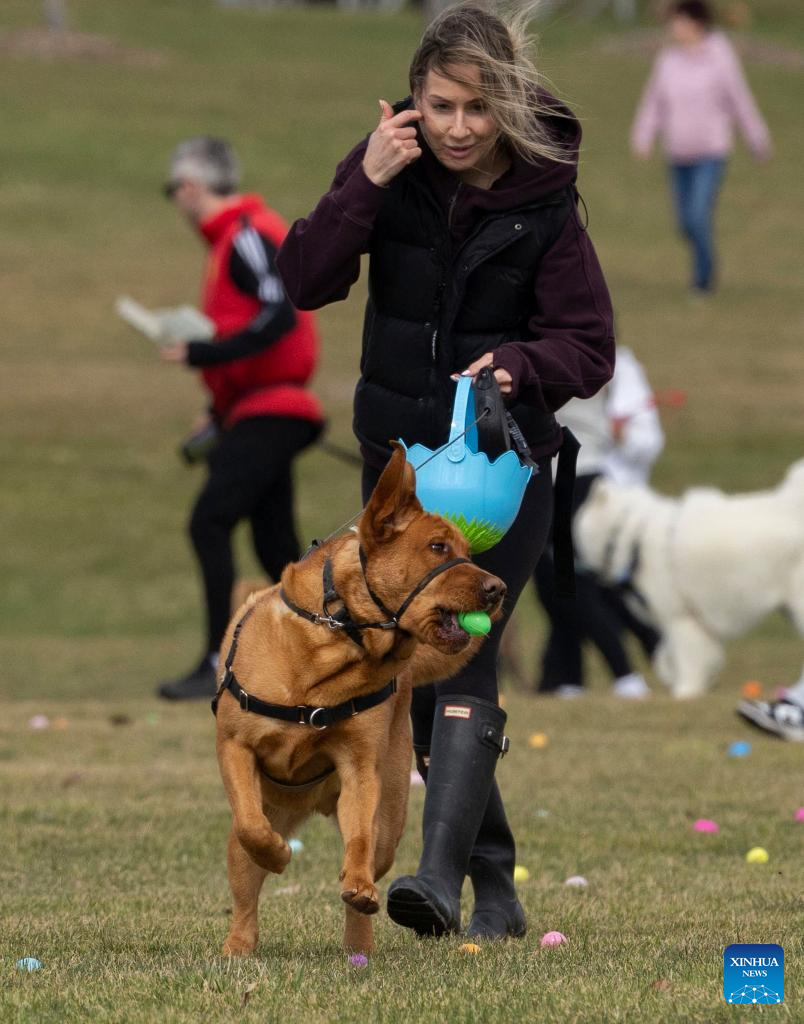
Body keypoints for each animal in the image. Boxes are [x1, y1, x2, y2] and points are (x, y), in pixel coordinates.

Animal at [214, 444, 506, 955]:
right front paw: (277, 854)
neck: (336, 642)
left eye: (469, 552)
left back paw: (359, 946)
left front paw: (358, 885)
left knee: (370, 854)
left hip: (386, 811)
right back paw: (239, 945)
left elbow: (359, 847)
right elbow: (252, 829)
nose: (499, 589)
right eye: (437, 547)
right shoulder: (235, 746)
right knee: (245, 882)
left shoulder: (359, 767)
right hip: (262, 818)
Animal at [574, 461, 804, 699]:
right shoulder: (690, 622)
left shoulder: (680, 617)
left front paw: (685, 692)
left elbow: (687, 659)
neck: (632, 536)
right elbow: (669, 655)